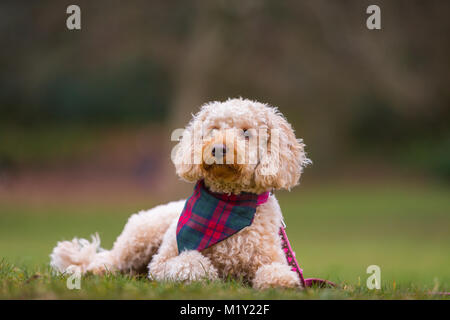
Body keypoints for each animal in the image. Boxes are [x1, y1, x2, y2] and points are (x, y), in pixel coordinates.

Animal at [49, 98, 310, 290]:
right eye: (212, 130)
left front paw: (282, 281)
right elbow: (192, 262)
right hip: (139, 237)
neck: (230, 201)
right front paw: (210, 274)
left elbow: (276, 270)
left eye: (246, 133)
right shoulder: (162, 262)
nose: (218, 149)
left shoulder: (271, 257)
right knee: (110, 258)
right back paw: (95, 269)